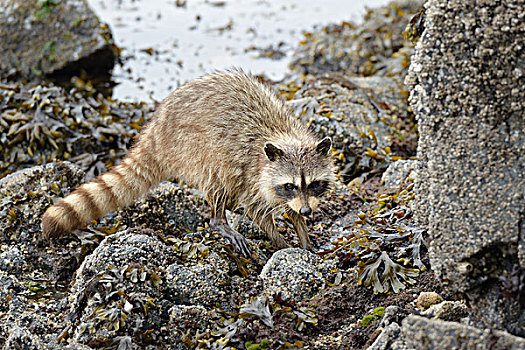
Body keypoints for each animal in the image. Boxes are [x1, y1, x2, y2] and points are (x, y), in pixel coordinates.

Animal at [43, 70, 334, 254]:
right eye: (290, 185)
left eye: (314, 184)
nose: (308, 211)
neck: (284, 137)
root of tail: (157, 128)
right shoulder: (253, 174)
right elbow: (257, 211)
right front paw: (281, 242)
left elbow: (290, 210)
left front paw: (303, 232)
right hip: (194, 148)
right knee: (217, 180)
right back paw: (219, 221)